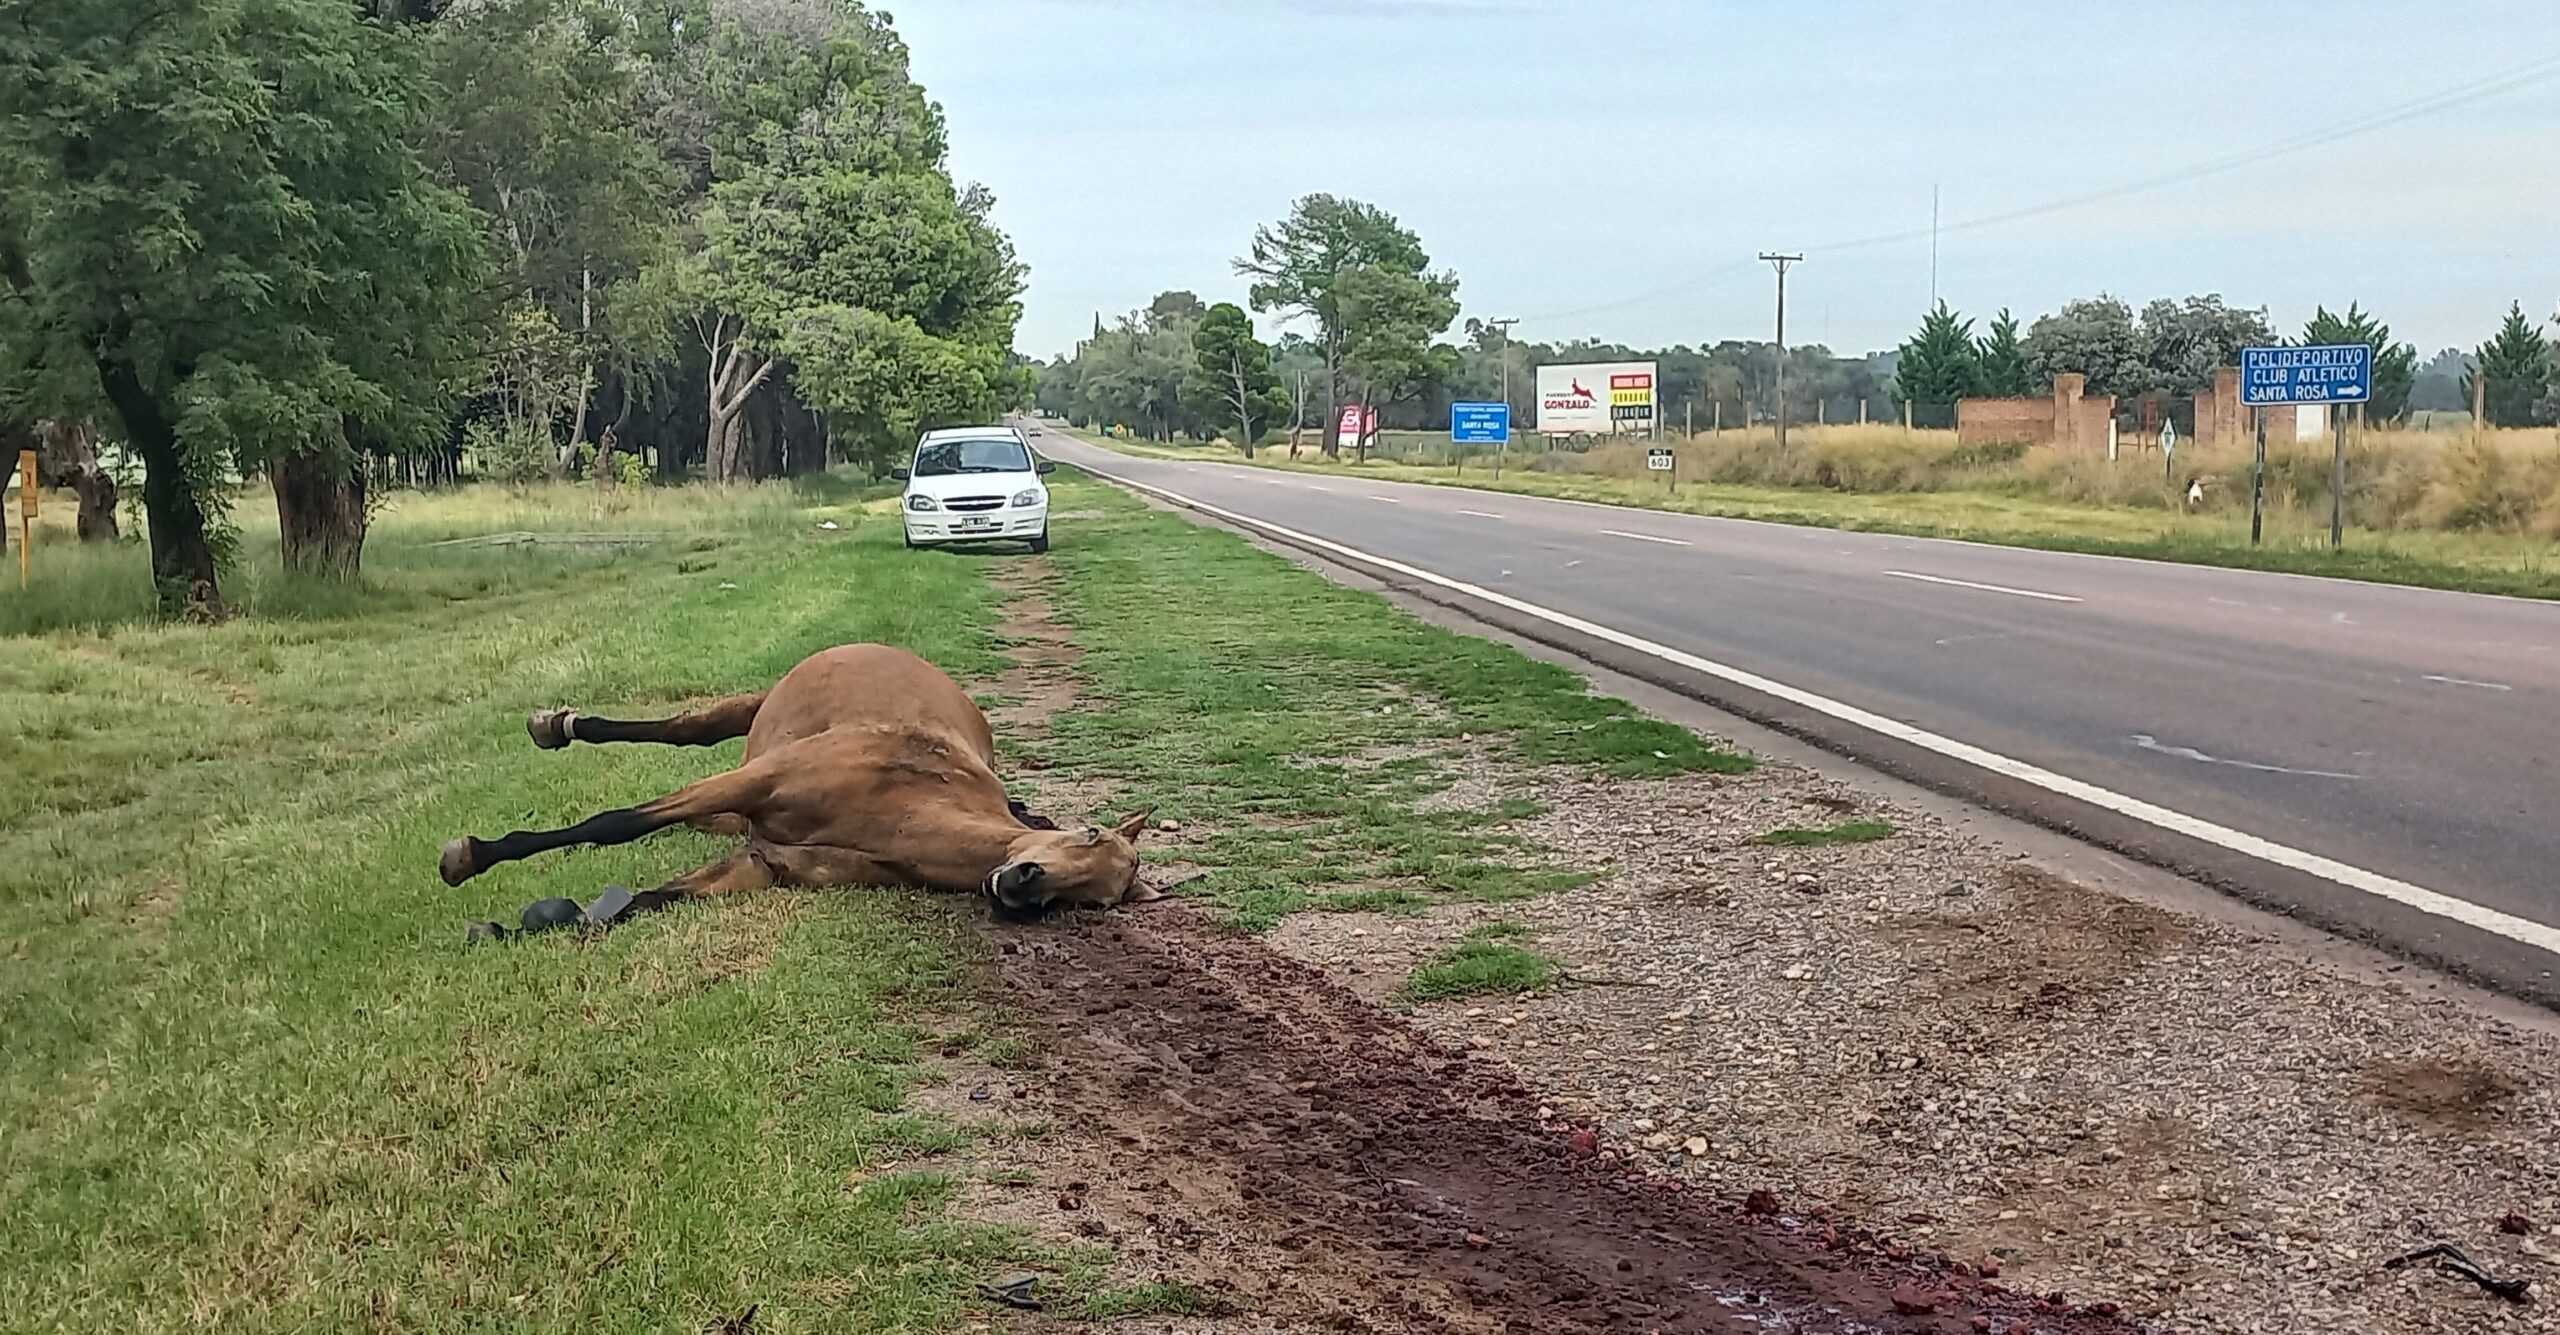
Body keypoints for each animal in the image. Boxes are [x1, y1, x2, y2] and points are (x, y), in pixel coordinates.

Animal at [440, 638, 1162, 932]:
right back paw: (555, 726)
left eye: (1096, 900)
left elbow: (641, 903)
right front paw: (470, 855)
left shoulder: (762, 864)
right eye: (1088, 832)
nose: (1023, 885)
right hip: (749, 722)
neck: (898, 812)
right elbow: (614, 823)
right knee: (686, 730)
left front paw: (520, 926)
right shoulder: (753, 781)